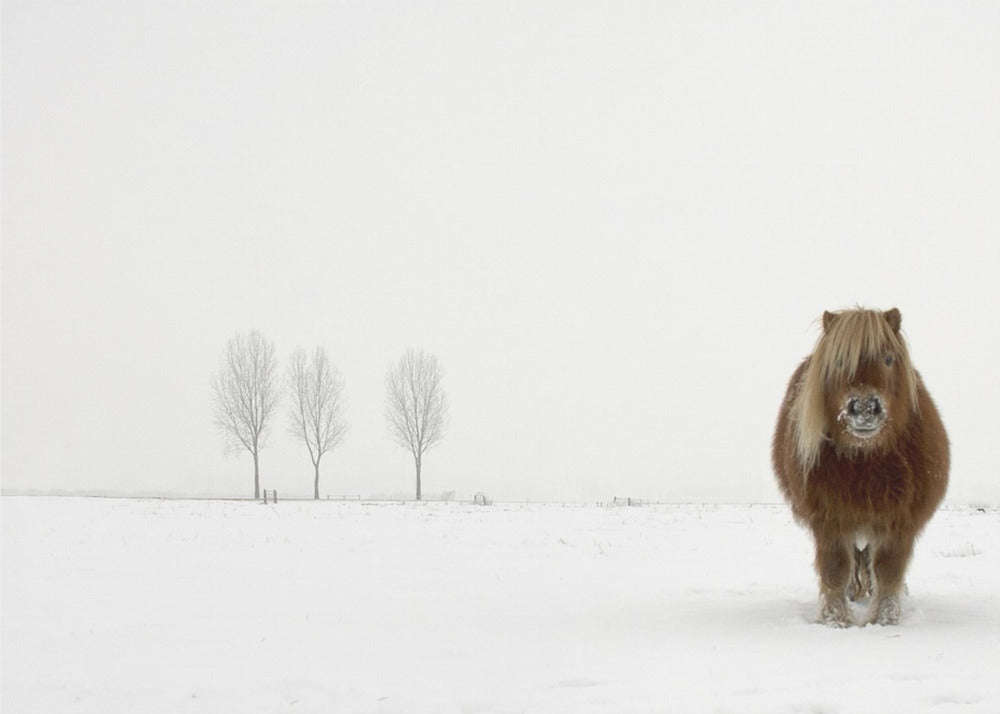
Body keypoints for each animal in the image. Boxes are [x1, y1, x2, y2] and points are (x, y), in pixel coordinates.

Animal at [772, 307, 949, 626]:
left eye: (889, 358)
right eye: (840, 360)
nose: (864, 408)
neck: (865, 460)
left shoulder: (899, 522)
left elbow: (888, 570)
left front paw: (884, 619)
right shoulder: (829, 520)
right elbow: (835, 570)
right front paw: (835, 619)